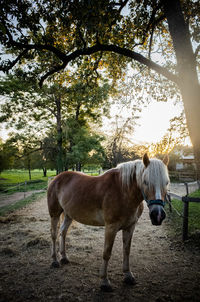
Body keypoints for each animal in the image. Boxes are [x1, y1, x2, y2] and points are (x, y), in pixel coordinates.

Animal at [47, 155, 170, 292]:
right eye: (145, 182)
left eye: (166, 182)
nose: (158, 215)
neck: (123, 191)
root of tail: (56, 178)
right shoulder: (111, 227)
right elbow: (106, 253)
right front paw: (105, 282)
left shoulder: (130, 227)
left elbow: (126, 251)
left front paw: (128, 275)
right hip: (55, 214)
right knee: (54, 234)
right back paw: (55, 260)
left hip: (69, 215)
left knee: (63, 232)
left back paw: (64, 257)